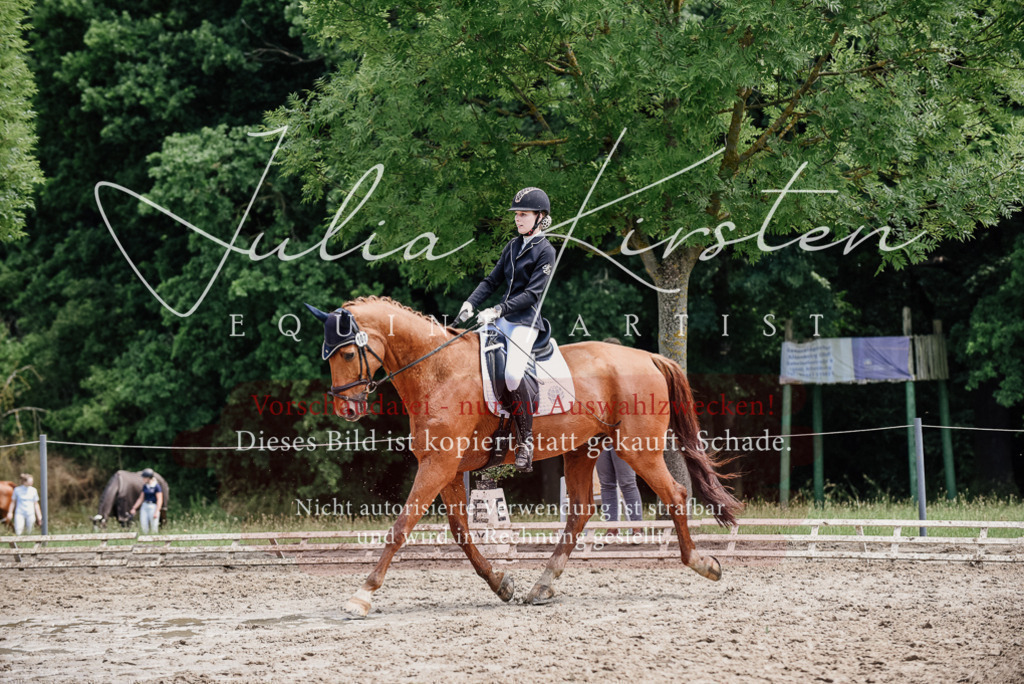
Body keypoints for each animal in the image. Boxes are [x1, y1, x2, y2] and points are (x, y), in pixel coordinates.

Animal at [305, 296, 742, 616]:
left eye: (347, 354)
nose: (346, 408)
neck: (438, 369)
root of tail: (648, 356)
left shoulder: (438, 465)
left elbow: (401, 526)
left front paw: (362, 594)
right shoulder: (447, 467)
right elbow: (461, 532)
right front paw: (501, 584)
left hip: (637, 448)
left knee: (675, 496)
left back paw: (703, 564)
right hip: (583, 449)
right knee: (580, 511)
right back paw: (541, 585)